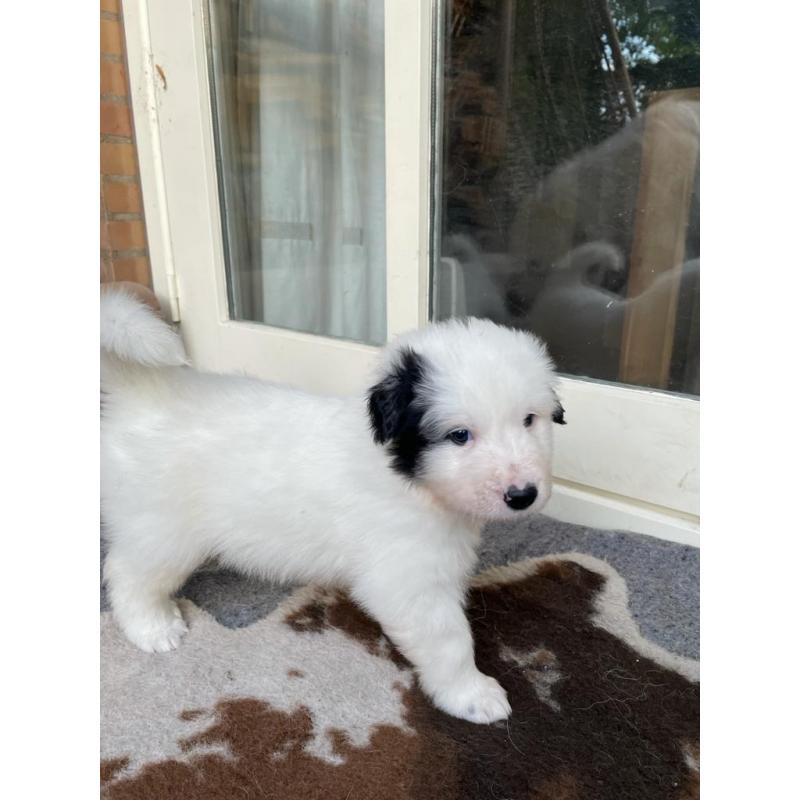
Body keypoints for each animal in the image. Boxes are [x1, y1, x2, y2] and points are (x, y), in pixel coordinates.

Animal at [100, 290, 564, 724]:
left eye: (529, 420)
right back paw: (152, 627)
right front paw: (472, 694)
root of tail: (147, 394)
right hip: (163, 529)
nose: (522, 495)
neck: (408, 479)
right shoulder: (407, 579)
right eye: (459, 435)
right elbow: (449, 639)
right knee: (127, 573)